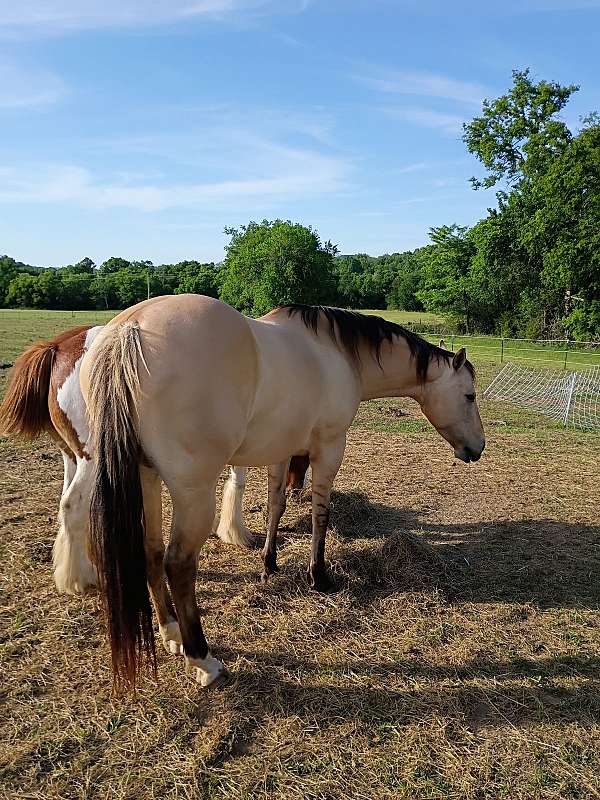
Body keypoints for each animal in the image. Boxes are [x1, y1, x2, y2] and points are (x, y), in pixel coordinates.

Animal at [80, 294, 485, 692]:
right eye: (469, 395)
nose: (477, 448)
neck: (337, 353)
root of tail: (129, 331)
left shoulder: (281, 451)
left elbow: (276, 505)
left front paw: (269, 563)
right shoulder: (329, 448)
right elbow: (321, 513)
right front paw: (318, 575)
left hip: (146, 477)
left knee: (150, 551)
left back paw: (171, 633)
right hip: (193, 492)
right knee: (178, 564)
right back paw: (203, 660)